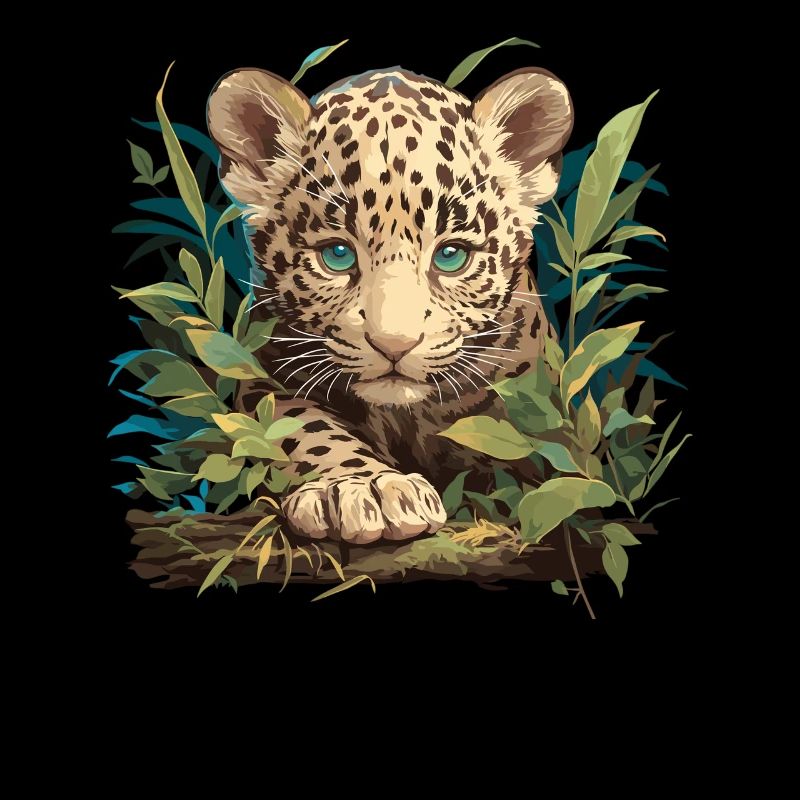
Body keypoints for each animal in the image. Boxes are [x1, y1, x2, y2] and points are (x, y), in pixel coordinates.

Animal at [206, 64, 573, 544]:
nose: (394, 345)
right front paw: (366, 490)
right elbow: (305, 431)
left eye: (450, 255)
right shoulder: (267, 378)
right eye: (336, 255)